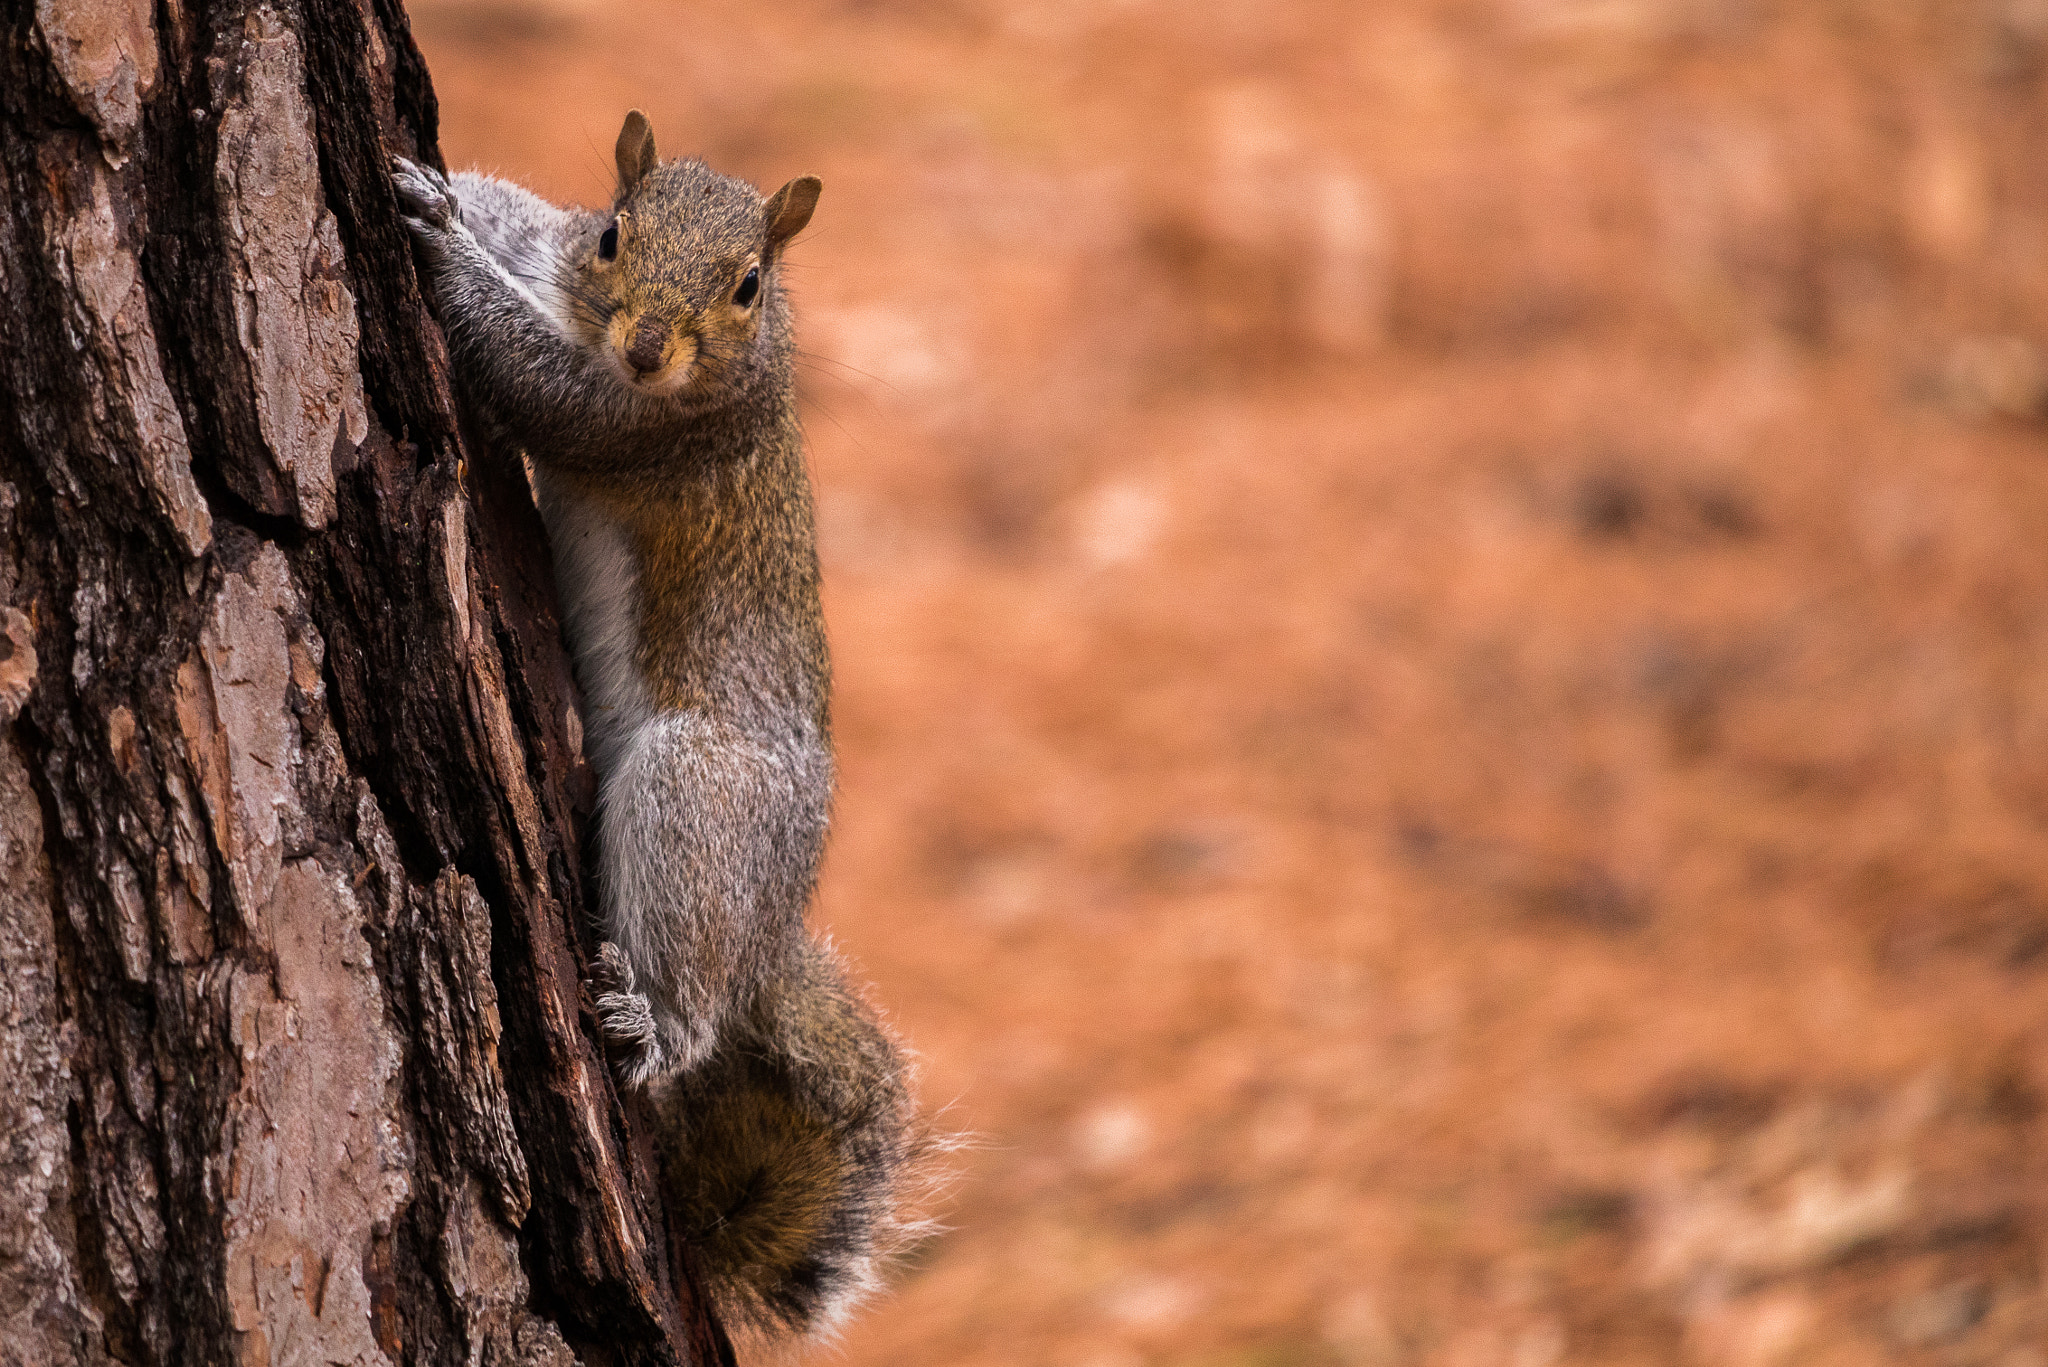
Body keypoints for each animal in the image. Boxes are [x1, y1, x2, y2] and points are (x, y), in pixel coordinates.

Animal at [392, 112, 927, 1337]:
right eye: (612, 232)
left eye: (747, 286)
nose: (645, 349)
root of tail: (768, 932)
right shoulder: (561, 270)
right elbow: (521, 228)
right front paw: (445, 191)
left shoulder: (640, 428)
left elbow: (529, 376)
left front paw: (441, 246)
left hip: (701, 800)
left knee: (691, 1006)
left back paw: (649, 1020)